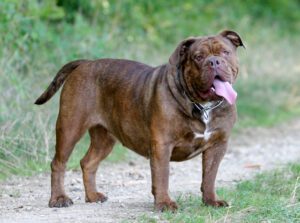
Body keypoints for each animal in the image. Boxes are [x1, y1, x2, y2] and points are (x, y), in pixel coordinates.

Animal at [34, 29, 244, 211]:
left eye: (225, 52)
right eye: (198, 57)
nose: (214, 61)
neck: (203, 105)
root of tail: (85, 63)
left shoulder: (217, 145)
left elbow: (209, 177)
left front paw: (211, 201)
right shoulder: (162, 145)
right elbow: (162, 176)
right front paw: (164, 204)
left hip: (104, 138)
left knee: (88, 163)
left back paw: (92, 196)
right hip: (70, 128)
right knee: (58, 163)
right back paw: (58, 199)